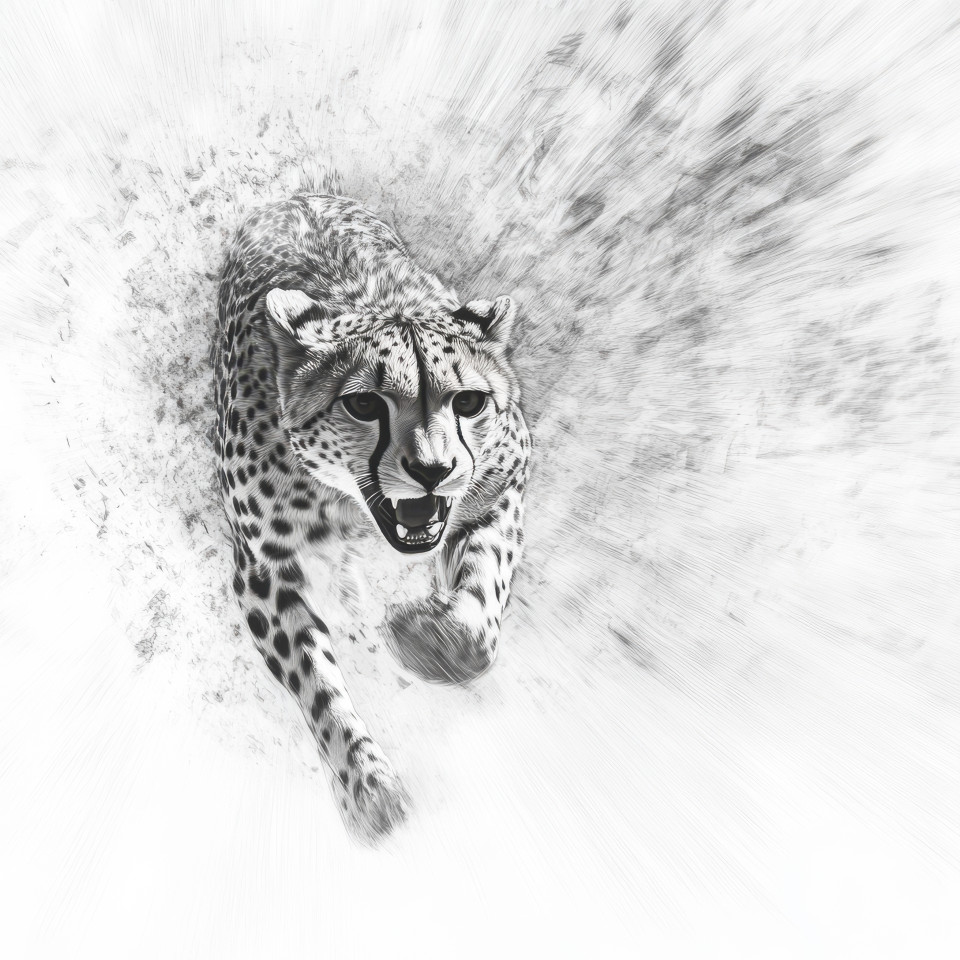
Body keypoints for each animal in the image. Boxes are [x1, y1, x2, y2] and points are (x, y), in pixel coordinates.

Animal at [213, 193, 531, 840]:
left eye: (469, 401)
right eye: (362, 404)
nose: (433, 470)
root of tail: (298, 195)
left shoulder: (504, 481)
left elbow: (484, 585)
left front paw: (434, 642)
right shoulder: (265, 565)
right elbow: (317, 684)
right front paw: (368, 787)